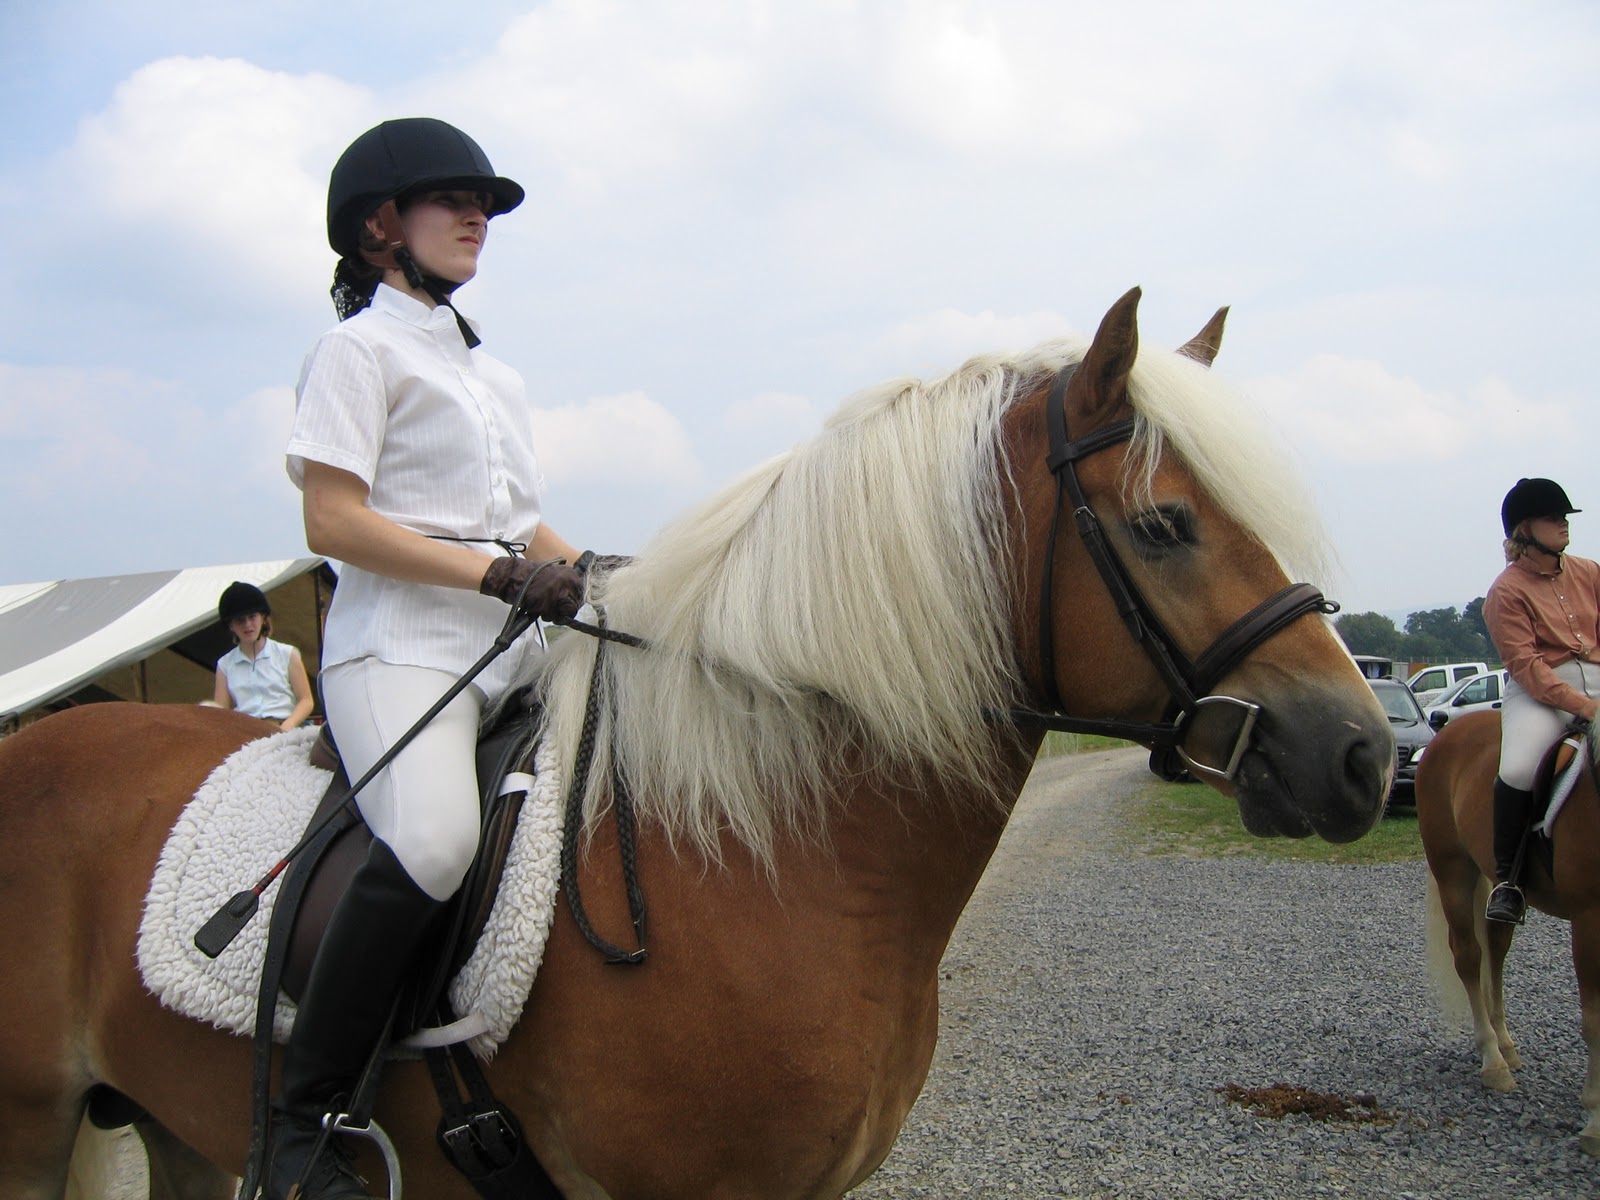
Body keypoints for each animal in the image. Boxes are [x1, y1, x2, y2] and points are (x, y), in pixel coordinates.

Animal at [1417, 708, 1600, 1155]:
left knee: (1495, 953)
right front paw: (1595, 1121)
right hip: (1453, 869)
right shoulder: (1589, 919)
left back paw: (1505, 1043)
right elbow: (1594, 1019)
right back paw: (1493, 1061)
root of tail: (1452, 728)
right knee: (1469, 957)